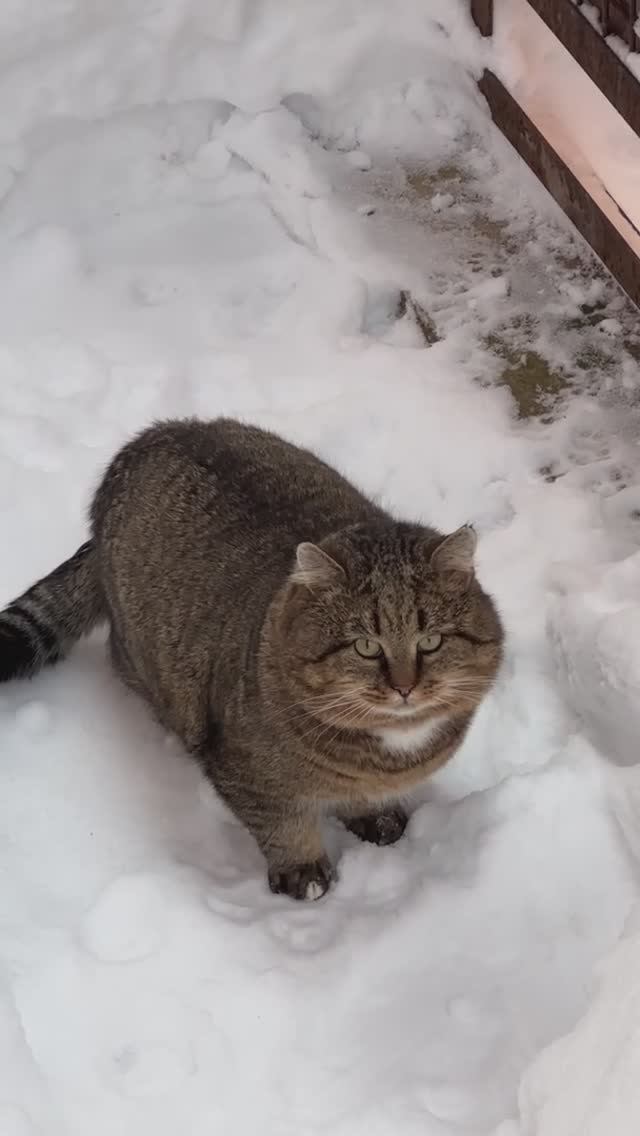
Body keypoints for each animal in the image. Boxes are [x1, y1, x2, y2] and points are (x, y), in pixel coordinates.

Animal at [0, 418, 502, 895]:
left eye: (431, 641)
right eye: (366, 646)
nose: (404, 686)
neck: (392, 750)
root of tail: (145, 440)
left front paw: (372, 814)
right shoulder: (242, 770)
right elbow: (281, 824)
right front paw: (303, 870)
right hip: (140, 653)